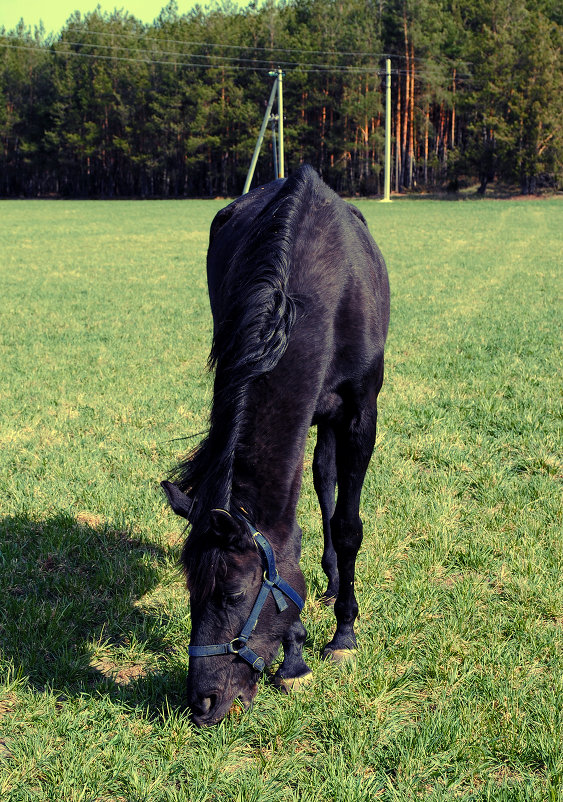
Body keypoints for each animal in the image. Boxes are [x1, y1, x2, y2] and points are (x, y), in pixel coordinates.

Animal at [163, 164, 390, 724]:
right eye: (189, 590)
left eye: (234, 593)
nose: (202, 702)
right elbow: (291, 535)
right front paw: (295, 656)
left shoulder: (360, 414)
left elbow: (347, 526)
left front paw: (343, 635)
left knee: (328, 486)